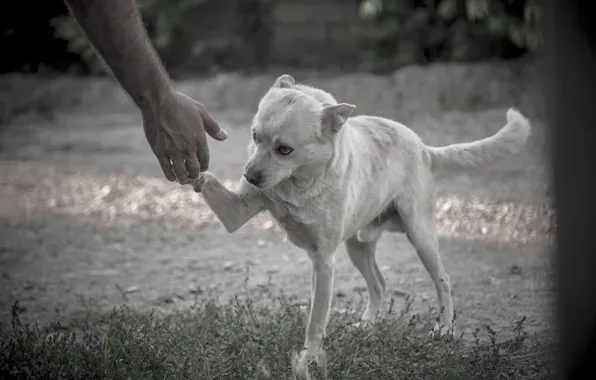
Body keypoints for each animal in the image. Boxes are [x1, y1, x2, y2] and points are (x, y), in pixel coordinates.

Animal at [191, 75, 532, 380]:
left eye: (284, 149)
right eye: (254, 136)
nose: (249, 176)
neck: (297, 183)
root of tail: (422, 146)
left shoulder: (324, 262)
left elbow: (315, 322)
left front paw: (308, 360)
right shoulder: (235, 215)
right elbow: (208, 182)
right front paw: (190, 167)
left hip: (420, 236)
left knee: (443, 280)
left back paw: (444, 328)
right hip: (357, 246)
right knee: (379, 285)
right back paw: (366, 327)